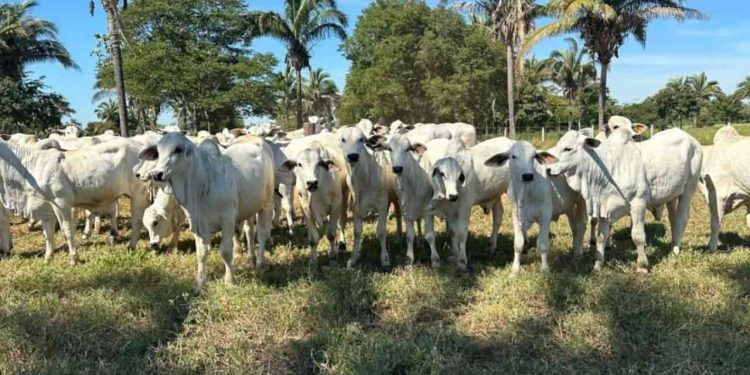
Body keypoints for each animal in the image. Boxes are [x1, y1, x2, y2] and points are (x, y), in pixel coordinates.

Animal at [140, 132, 274, 288]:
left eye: (178, 149)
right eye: (158, 152)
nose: (157, 174)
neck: (202, 182)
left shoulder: (227, 219)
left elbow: (225, 252)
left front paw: (229, 280)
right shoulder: (198, 223)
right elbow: (201, 253)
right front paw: (199, 282)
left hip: (266, 204)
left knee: (262, 234)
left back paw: (259, 264)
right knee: (249, 231)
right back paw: (249, 257)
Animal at [432, 137, 516, 272]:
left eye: (460, 176)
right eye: (442, 174)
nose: (453, 196)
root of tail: (511, 141)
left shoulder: (465, 206)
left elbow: (462, 233)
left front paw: (462, 261)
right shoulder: (451, 212)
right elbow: (452, 232)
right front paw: (455, 256)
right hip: (496, 194)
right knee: (498, 217)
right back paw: (492, 246)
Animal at [484, 142, 592, 274]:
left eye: (534, 156)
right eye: (513, 156)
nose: (527, 176)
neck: (526, 192)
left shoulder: (545, 214)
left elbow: (542, 244)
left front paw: (545, 269)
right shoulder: (516, 215)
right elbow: (518, 243)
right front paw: (515, 269)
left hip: (582, 201)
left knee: (582, 225)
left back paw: (578, 253)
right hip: (569, 206)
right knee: (574, 226)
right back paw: (574, 247)